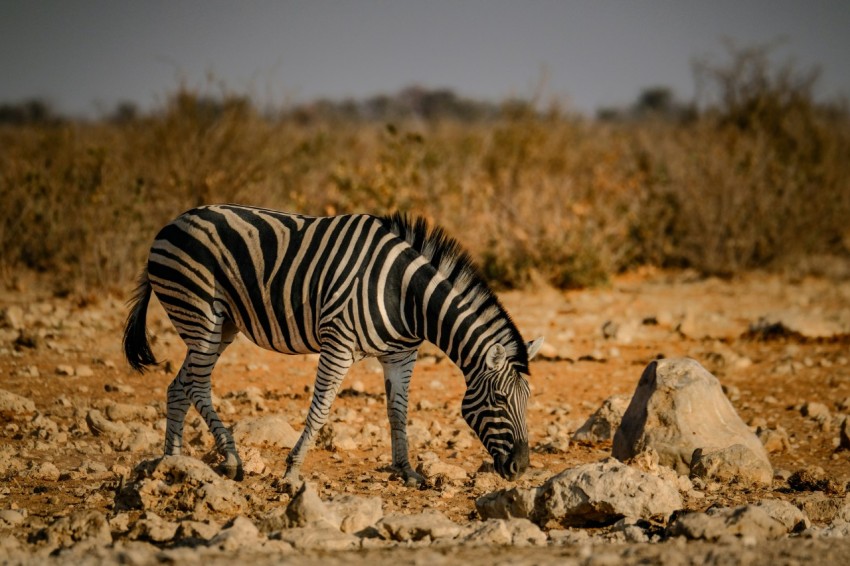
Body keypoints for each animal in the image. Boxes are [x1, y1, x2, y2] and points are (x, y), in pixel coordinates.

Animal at [121, 206, 540, 486]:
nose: (521, 468)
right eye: (499, 400)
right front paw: (292, 472)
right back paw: (231, 459)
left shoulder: (401, 355)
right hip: (201, 314)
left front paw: (408, 472)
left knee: (179, 386)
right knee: (196, 385)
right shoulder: (338, 343)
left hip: (222, 325)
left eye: (528, 401)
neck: (407, 296)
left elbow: (398, 414)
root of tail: (172, 223)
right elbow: (320, 410)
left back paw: (174, 464)